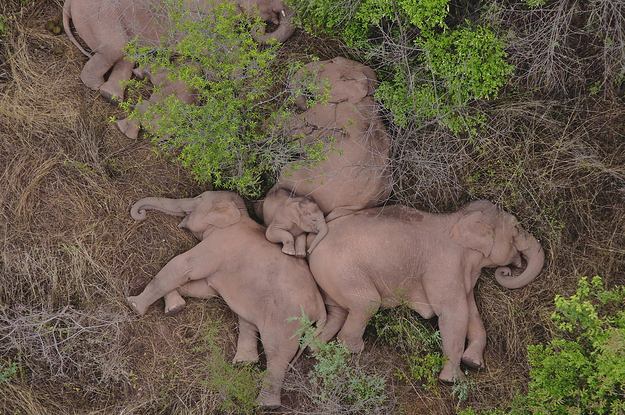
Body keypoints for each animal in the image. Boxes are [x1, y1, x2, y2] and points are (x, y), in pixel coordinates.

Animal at [62, 0, 294, 103]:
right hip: (101, 18)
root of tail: (68, 3)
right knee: (116, 49)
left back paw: (111, 96)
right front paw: (229, 80)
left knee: (128, 54)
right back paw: (96, 86)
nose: (262, 26)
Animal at [124, 191, 324, 410]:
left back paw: (265, 405)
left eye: (199, 198)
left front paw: (134, 305)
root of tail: (320, 307)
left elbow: (183, 266)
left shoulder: (219, 243)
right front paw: (175, 308)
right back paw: (244, 363)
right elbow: (204, 289)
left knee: (278, 352)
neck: (239, 214)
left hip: (287, 319)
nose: (140, 213)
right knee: (248, 321)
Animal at [262, 57, 390, 224]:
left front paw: (262, 127)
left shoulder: (327, 112)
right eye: (333, 60)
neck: (366, 93)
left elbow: (295, 129)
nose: (303, 103)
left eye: (329, 63)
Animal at [304, 200, 544, 386]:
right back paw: (354, 348)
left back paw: (313, 349)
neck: (458, 219)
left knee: (338, 311)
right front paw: (452, 381)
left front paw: (473, 363)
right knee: (367, 303)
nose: (506, 270)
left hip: (330, 277)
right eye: (516, 227)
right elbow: (453, 313)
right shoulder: (444, 266)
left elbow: (472, 313)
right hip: (342, 269)